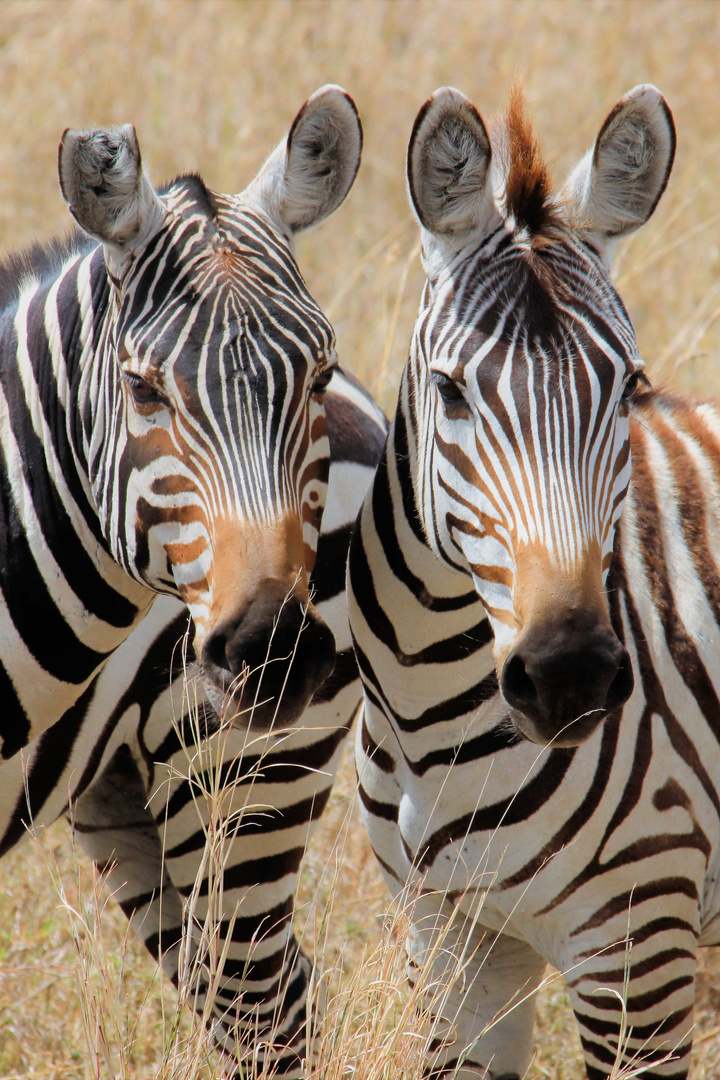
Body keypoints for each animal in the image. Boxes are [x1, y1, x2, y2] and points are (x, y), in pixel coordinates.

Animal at [0, 88, 388, 1075]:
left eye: (315, 374)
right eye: (144, 390)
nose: (271, 653)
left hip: (240, 775)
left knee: (267, 1011)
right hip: (126, 793)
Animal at [347, 86, 716, 1080]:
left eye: (629, 388)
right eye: (450, 391)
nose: (570, 674)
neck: (435, 725)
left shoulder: (638, 952)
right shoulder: (452, 948)